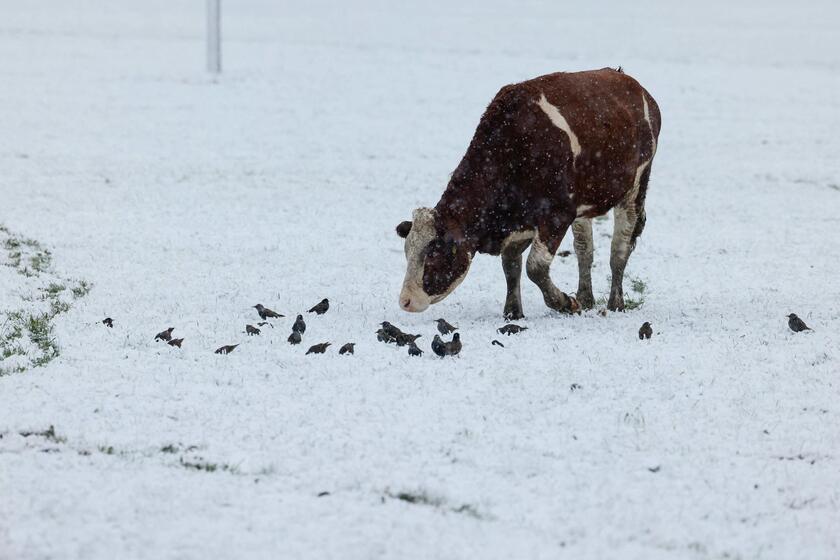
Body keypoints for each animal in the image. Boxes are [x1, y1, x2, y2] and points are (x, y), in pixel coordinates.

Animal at [398, 68, 660, 318]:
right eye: (407, 252)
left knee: (619, 249)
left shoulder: (557, 215)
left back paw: (615, 303)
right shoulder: (520, 218)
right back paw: (586, 298)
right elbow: (511, 264)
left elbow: (535, 267)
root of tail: (632, 83)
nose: (405, 301)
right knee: (584, 250)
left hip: (636, 188)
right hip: (584, 207)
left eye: (434, 255)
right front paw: (513, 311)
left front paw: (565, 303)